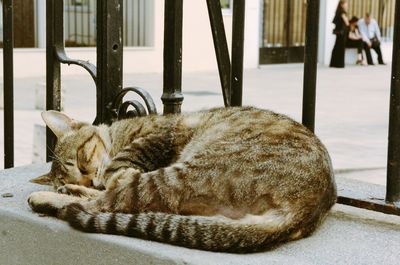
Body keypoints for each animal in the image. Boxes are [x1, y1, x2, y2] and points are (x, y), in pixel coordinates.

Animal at [26, 106, 336, 253]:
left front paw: (112, 173)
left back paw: (49, 197)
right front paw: (73, 185)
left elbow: (121, 167)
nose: (87, 181)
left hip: (179, 174)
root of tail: (304, 209)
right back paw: (64, 193)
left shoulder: (158, 134)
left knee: (112, 201)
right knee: (117, 202)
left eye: (81, 159)